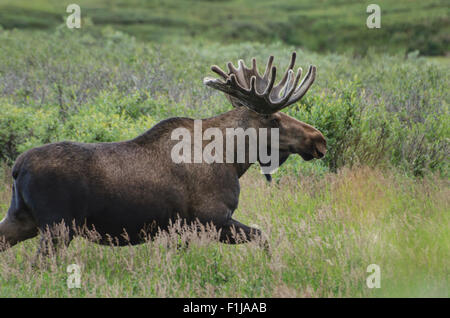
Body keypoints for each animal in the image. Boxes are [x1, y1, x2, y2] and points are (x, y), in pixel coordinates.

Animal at [0, 52, 326, 256]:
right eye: (275, 119)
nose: (319, 140)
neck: (234, 159)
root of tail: (18, 167)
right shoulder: (213, 219)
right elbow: (264, 238)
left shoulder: (179, 229)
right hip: (58, 227)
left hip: (22, 219)